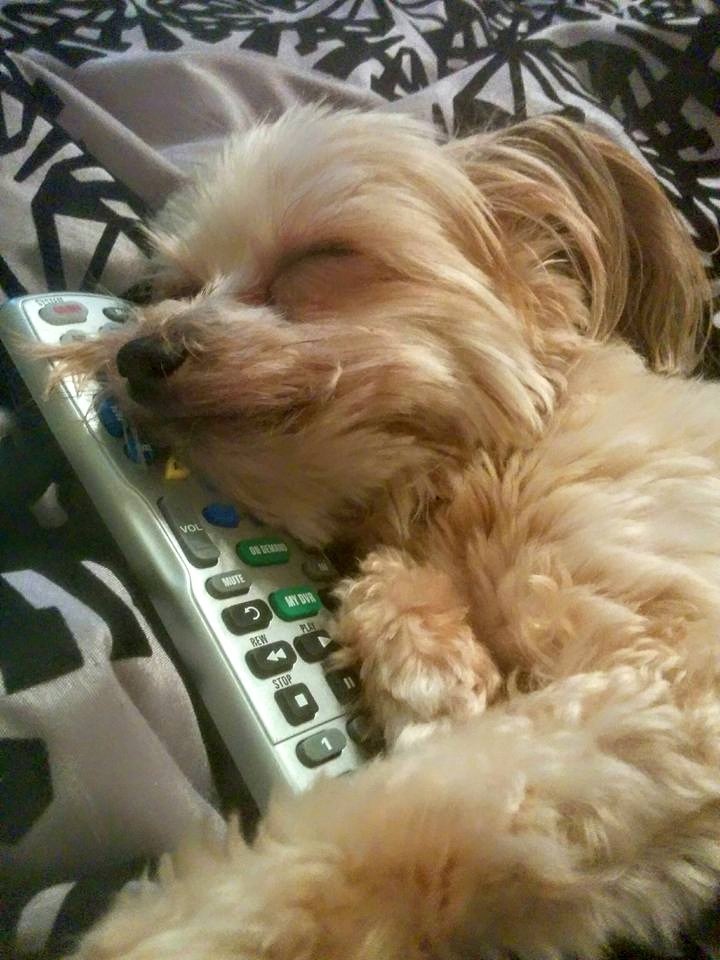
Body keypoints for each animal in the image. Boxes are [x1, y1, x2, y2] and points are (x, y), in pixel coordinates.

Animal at [50, 106, 720, 959]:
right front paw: (428, 666)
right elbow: (398, 604)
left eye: (321, 258)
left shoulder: (675, 678)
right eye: (172, 288)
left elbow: (408, 819)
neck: (480, 469)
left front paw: (192, 927)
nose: (139, 352)